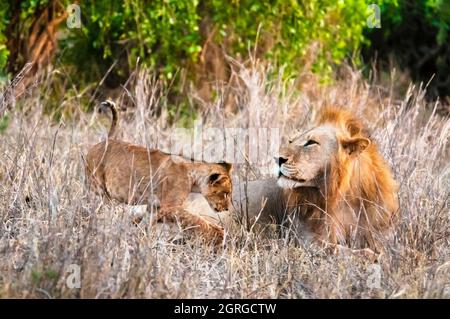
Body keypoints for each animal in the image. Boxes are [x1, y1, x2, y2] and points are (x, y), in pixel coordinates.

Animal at [85, 100, 232, 245]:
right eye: (225, 193)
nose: (227, 209)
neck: (194, 177)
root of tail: (104, 141)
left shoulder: (154, 207)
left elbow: (146, 224)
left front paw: (140, 239)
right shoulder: (168, 206)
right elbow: (194, 218)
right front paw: (219, 232)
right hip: (100, 192)